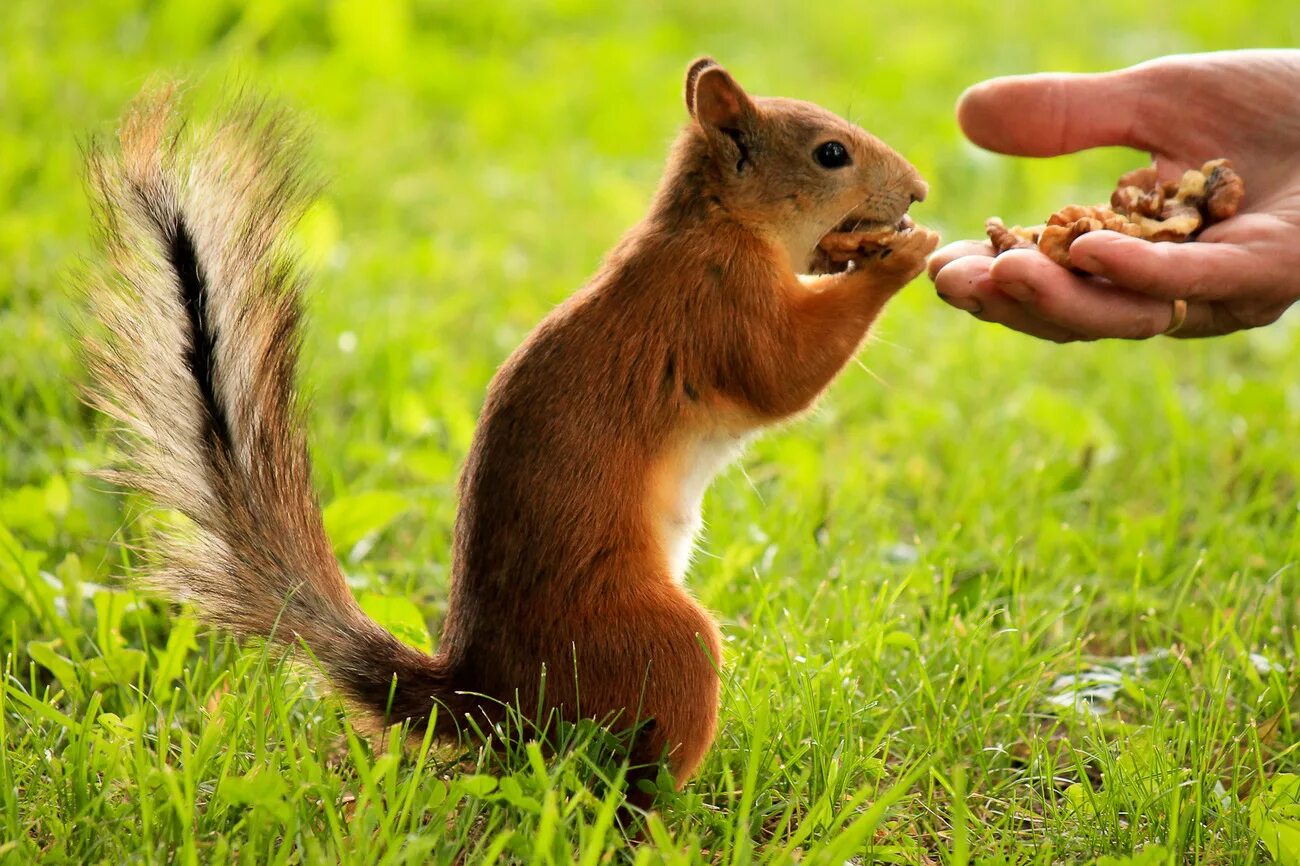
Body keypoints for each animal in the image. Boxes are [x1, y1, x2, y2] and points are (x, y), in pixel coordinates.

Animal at [81, 60, 935, 811]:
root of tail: (492, 696)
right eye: (831, 154)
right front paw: (904, 256)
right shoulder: (717, 304)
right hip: (657, 643)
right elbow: (782, 374)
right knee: (627, 778)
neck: (715, 223)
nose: (918, 190)